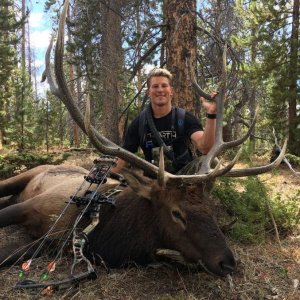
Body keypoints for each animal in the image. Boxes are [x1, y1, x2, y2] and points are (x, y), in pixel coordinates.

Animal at [0, 0, 286, 284]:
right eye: (177, 213)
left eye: (211, 210)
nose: (227, 262)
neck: (98, 233)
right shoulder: (37, 205)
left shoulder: (50, 243)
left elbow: (9, 255)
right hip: (31, 173)